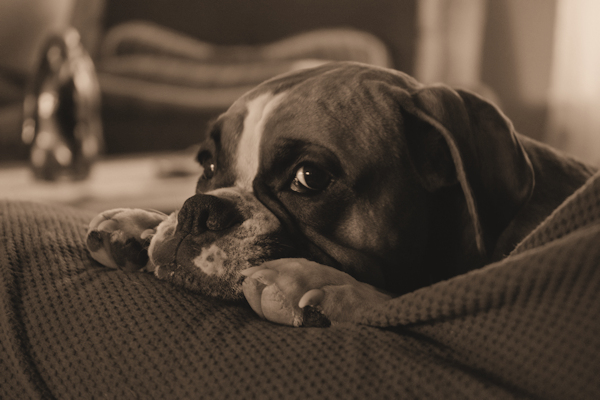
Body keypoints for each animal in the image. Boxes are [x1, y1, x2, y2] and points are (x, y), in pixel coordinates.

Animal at [85, 61, 596, 324]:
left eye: (309, 177)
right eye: (207, 164)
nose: (198, 212)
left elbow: (394, 301)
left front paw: (324, 286)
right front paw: (138, 224)